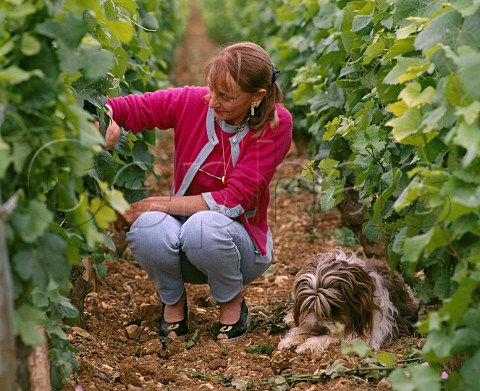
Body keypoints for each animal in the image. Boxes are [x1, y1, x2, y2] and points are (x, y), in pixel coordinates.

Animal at [280, 248, 418, 356]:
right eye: (309, 306)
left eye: (334, 308)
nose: (318, 329)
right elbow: (303, 327)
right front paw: (292, 338)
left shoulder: (370, 335)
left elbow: (336, 336)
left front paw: (309, 344)